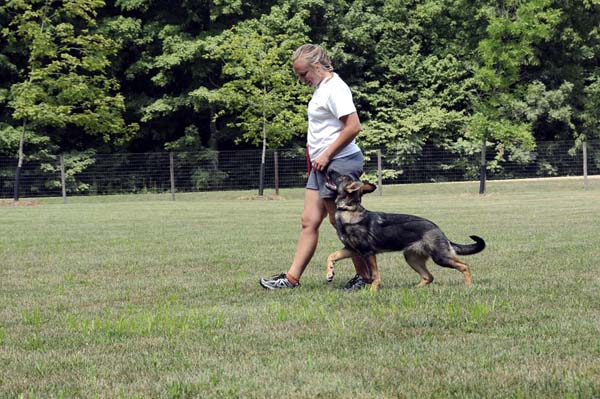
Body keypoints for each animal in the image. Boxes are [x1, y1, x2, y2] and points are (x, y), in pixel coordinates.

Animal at [326, 173, 486, 292]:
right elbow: (331, 256)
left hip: (440, 257)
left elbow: (375, 275)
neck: (348, 210)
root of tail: (438, 228)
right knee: (429, 277)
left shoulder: (368, 252)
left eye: (340, 177)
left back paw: (469, 286)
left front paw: (373, 290)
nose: (328, 170)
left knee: (464, 266)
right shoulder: (351, 250)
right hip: (412, 258)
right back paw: (414, 289)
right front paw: (329, 273)